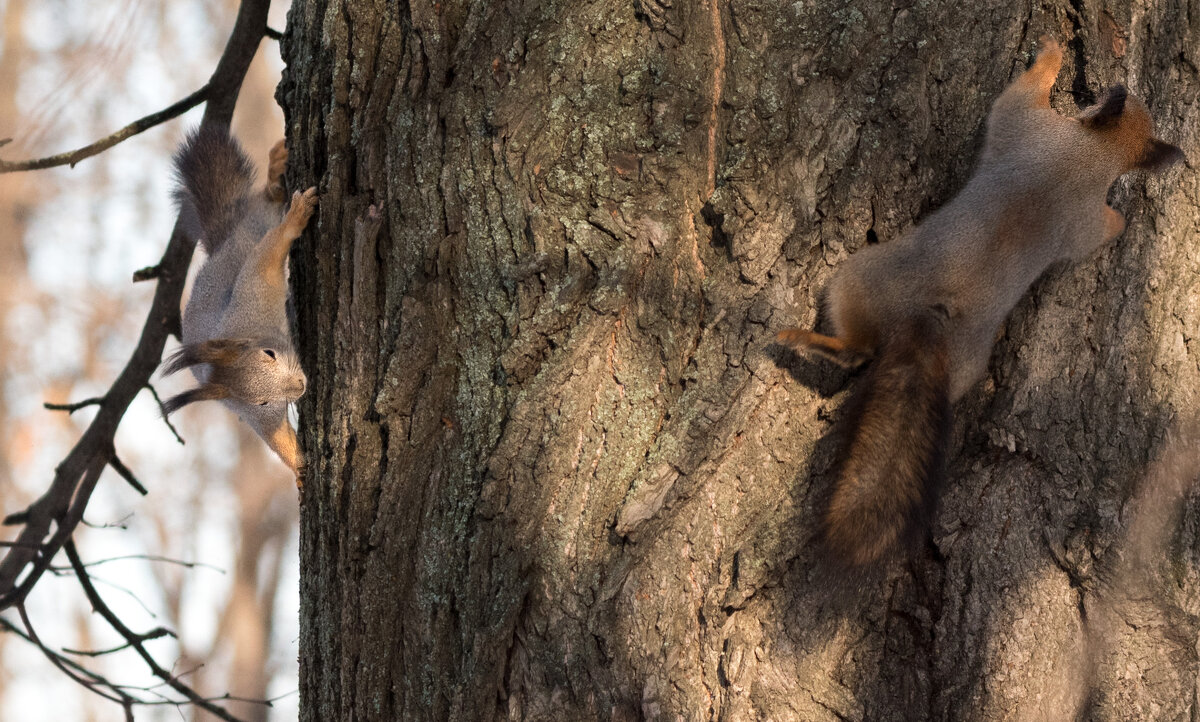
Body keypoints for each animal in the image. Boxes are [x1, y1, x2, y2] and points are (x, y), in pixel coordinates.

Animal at [160, 127, 319, 477]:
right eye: (260, 403)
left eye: (270, 354)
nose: (299, 388)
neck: (250, 333)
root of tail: (223, 244)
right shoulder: (258, 417)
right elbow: (277, 439)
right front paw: (300, 471)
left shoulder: (254, 294)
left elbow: (268, 255)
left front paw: (296, 218)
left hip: (252, 228)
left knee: (266, 206)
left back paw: (277, 173)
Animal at [777, 37, 1180, 568]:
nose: (1111, 86)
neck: (1096, 154)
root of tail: (933, 317)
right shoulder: (1082, 219)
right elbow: (1098, 229)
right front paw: (1123, 219)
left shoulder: (1029, 126)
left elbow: (1015, 97)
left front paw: (1051, 54)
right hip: (959, 370)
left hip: (859, 277)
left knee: (855, 350)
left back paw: (801, 339)